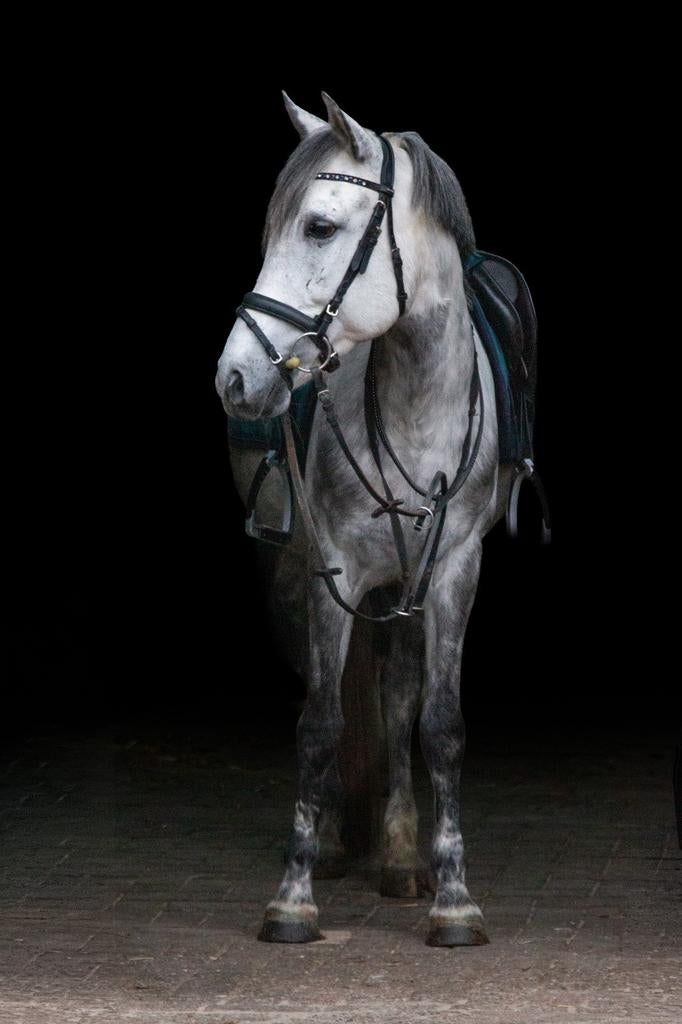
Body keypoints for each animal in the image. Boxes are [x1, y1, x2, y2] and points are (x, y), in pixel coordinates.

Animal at [215, 91, 516, 948]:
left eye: (319, 226)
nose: (233, 377)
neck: (414, 405)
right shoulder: (335, 570)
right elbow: (319, 721)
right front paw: (292, 896)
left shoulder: (453, 574)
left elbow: (438, 723)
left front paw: (455, 899)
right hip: (299, 574)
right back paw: (337, 848)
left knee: (398, 695)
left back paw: (402, 858)